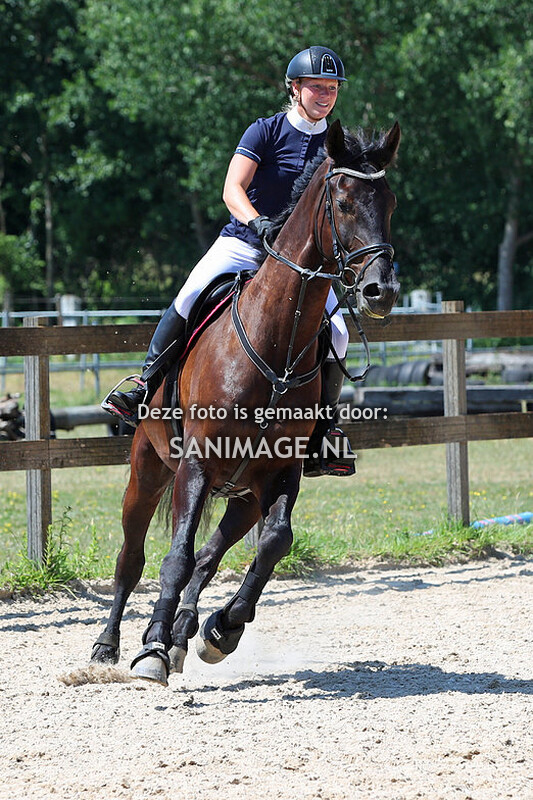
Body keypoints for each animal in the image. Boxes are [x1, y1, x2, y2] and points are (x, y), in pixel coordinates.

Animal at [91, 119, 401, 685]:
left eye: (388, 203)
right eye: (344, 203)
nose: (380, 291)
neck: (275, 342)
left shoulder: (282, 471)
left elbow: (274, 541)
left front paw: (221, 630)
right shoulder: (195, 465)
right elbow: (174, 556)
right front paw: (151, 651)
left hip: (243, 494)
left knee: (211, 555)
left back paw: (185, 631)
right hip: (148, 470)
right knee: (132, 557)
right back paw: (110, 645)